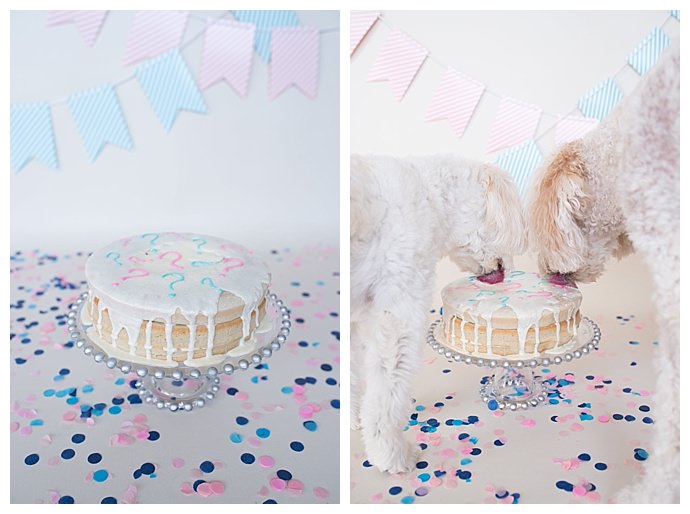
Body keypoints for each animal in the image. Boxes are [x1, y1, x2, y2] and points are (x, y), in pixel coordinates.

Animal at [352, 155, 524, 472]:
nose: (508, 269)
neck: (429, 196)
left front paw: (352, 415)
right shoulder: (399, 313)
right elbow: (386, 394)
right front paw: (390, 454)